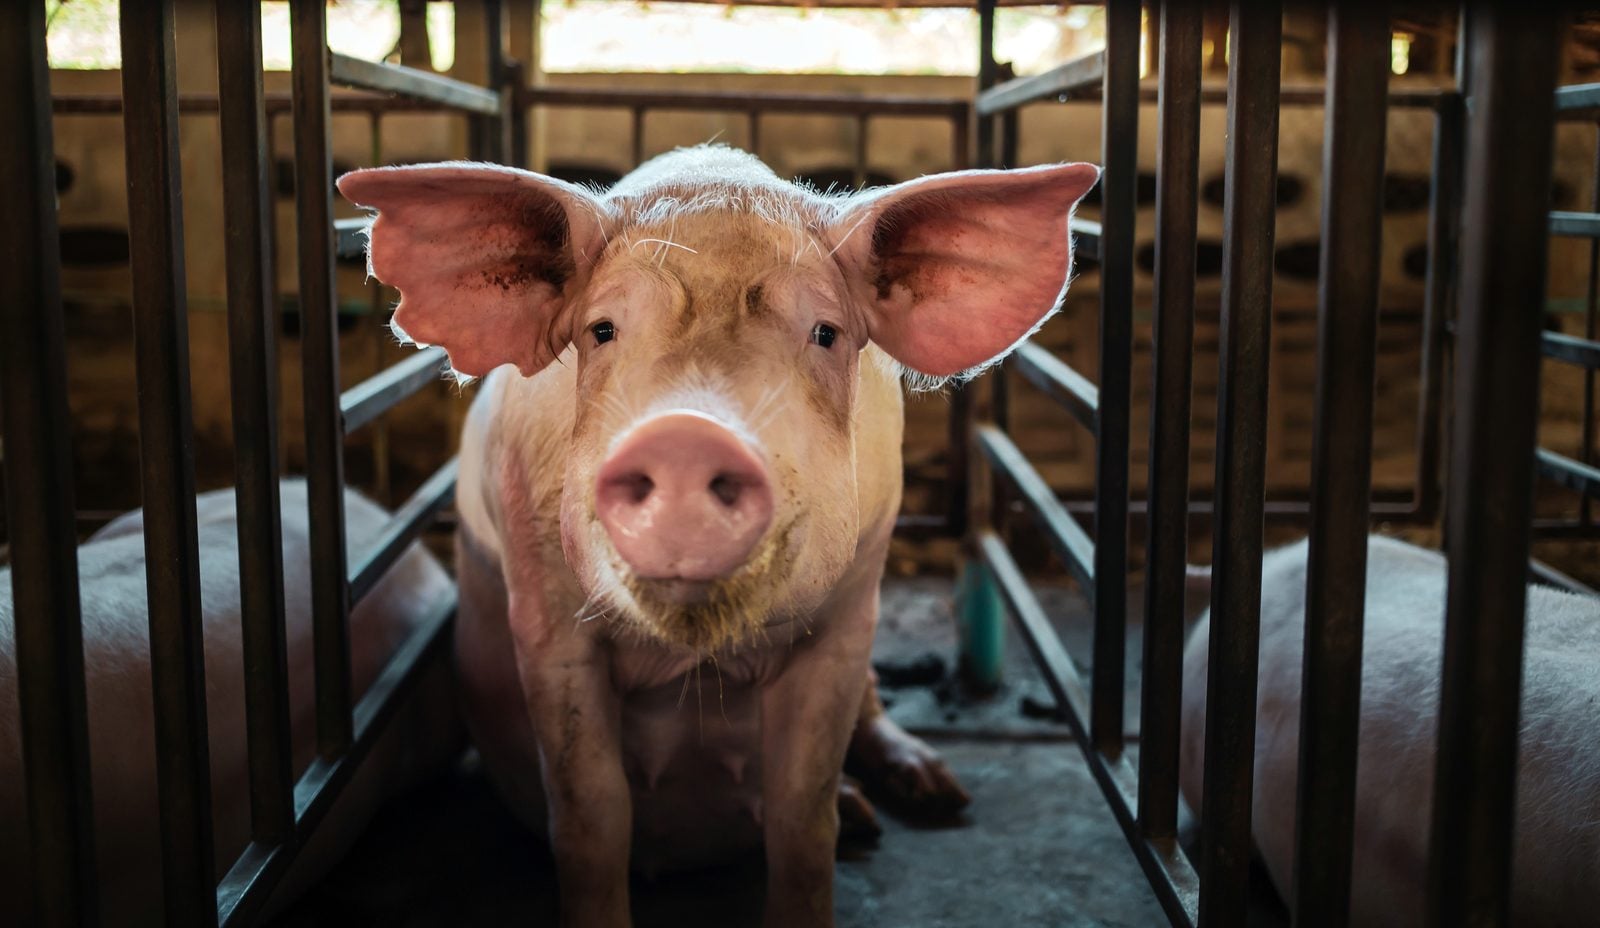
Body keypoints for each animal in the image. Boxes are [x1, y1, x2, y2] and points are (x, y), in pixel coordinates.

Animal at [337, 144, 1100, 926]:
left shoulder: (848, 615)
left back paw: (927, 797)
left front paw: (845, 821)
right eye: (602, 330)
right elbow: (590, 816)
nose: (686, 435)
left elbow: (804, 818)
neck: (694, 660)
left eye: (825, 333)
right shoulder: (544, 616)